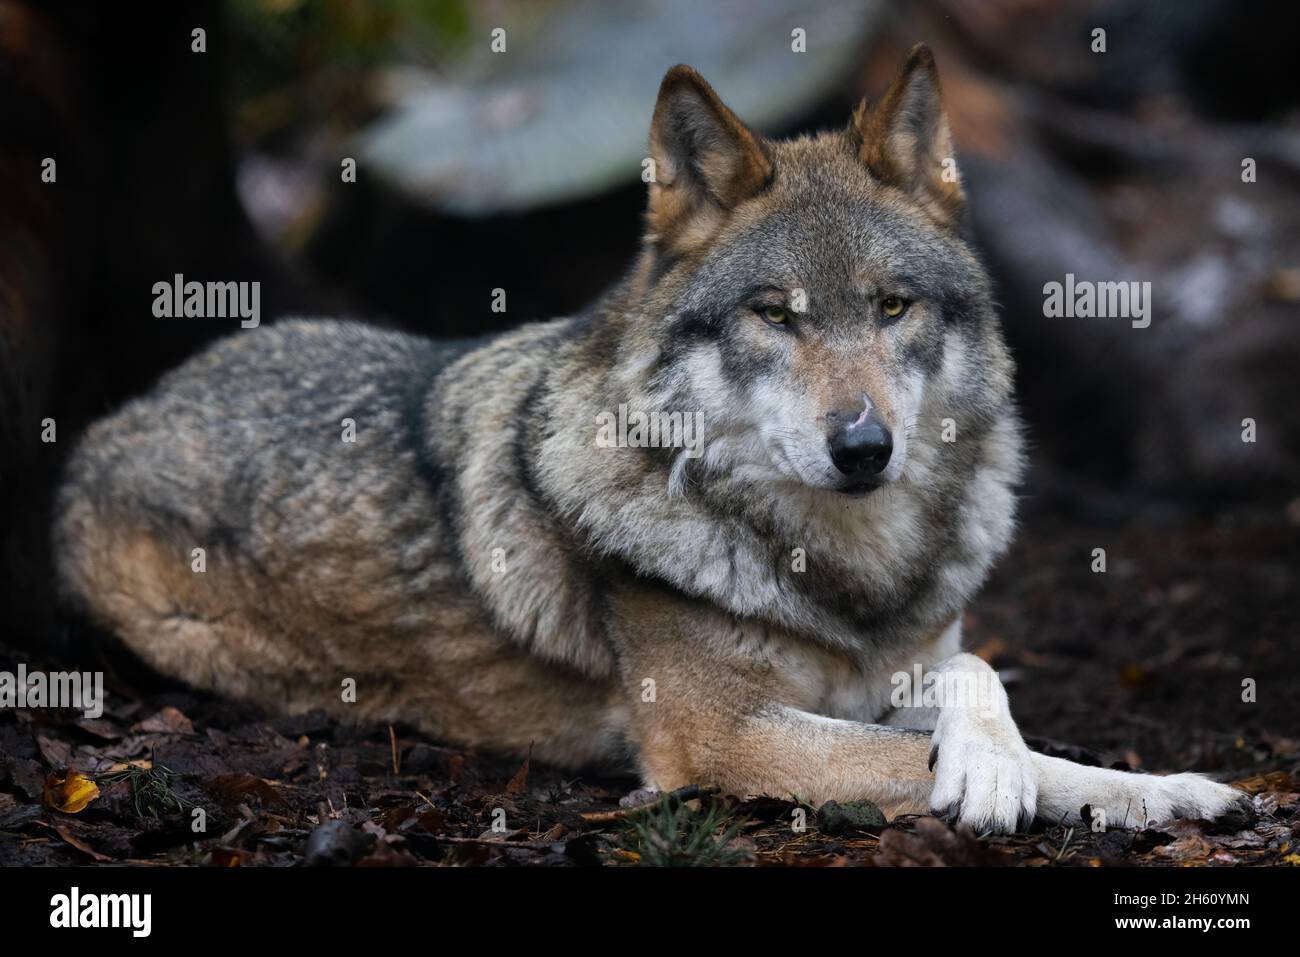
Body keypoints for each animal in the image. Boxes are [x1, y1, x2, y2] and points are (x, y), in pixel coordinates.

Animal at [55, 46, 1242, 833]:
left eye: (892, 307)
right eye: (774, 315)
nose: (864, 449)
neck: (846, 581)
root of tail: (128, 410)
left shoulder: (899, 667)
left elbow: (985, 677)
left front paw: (1155, 787)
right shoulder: (726, 735)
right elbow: (962, 755)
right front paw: (1019, 787)